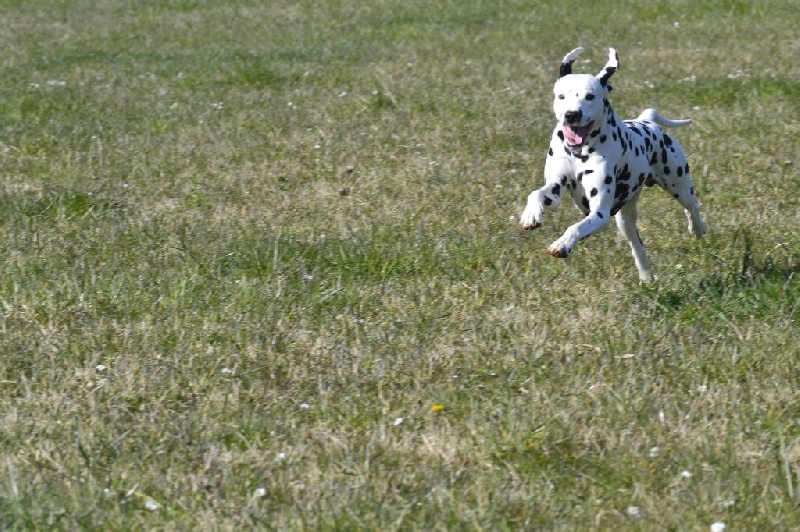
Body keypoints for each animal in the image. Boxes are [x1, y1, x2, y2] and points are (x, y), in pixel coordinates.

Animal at [520, 47, 707, 282]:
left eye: (590, 96)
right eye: (561, 96)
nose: (571, 114)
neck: (579, 152)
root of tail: (647, 121)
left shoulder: (600, 214)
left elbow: (575, 228)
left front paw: (562, 244)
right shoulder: (554, 189)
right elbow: (536, 194)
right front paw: (530, 215)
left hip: (679, 186)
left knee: (692, 207)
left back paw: (698, 228)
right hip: (625, 221)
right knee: (638, 246)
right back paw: (646, 279)